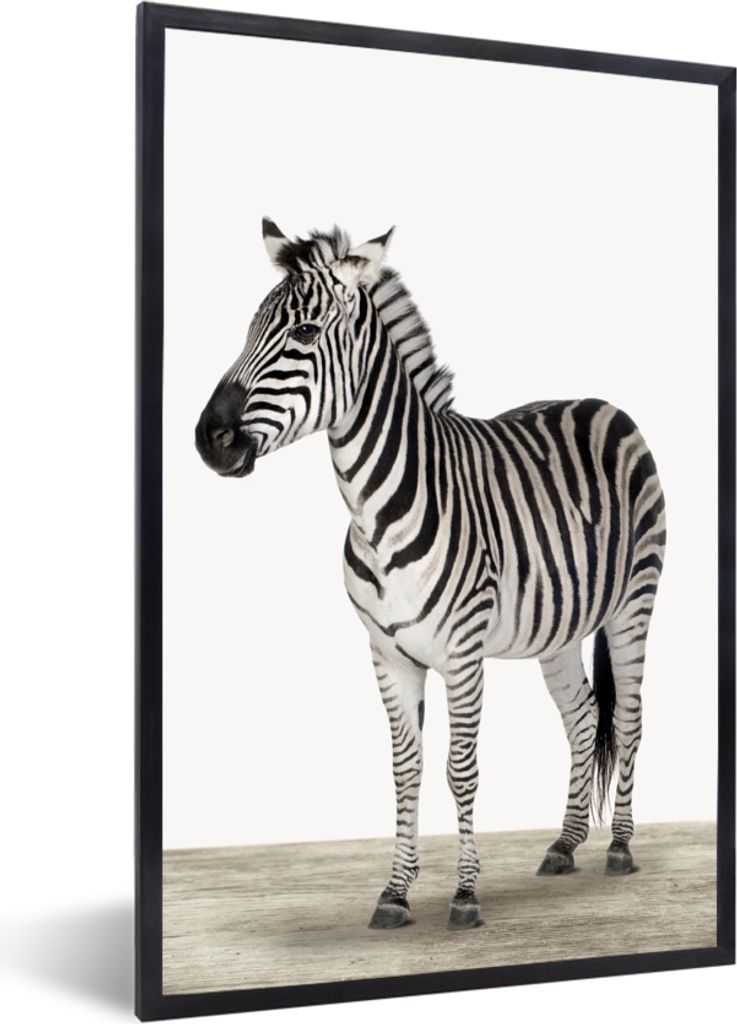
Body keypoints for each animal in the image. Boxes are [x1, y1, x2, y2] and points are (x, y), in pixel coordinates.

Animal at [195, 219, 666, 931]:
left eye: (303, 333)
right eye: (249, 328)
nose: (208, 439)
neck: (376, 511)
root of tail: (601, 403)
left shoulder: (463, 655)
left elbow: (460, 769)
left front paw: (465, 894)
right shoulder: (388, 654)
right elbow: (406, 770)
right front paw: (395, 892)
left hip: (633, 604)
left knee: (631, 716)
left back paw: (619, 848)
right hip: (558, 628)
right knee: (584, 717)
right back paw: (564, 843)